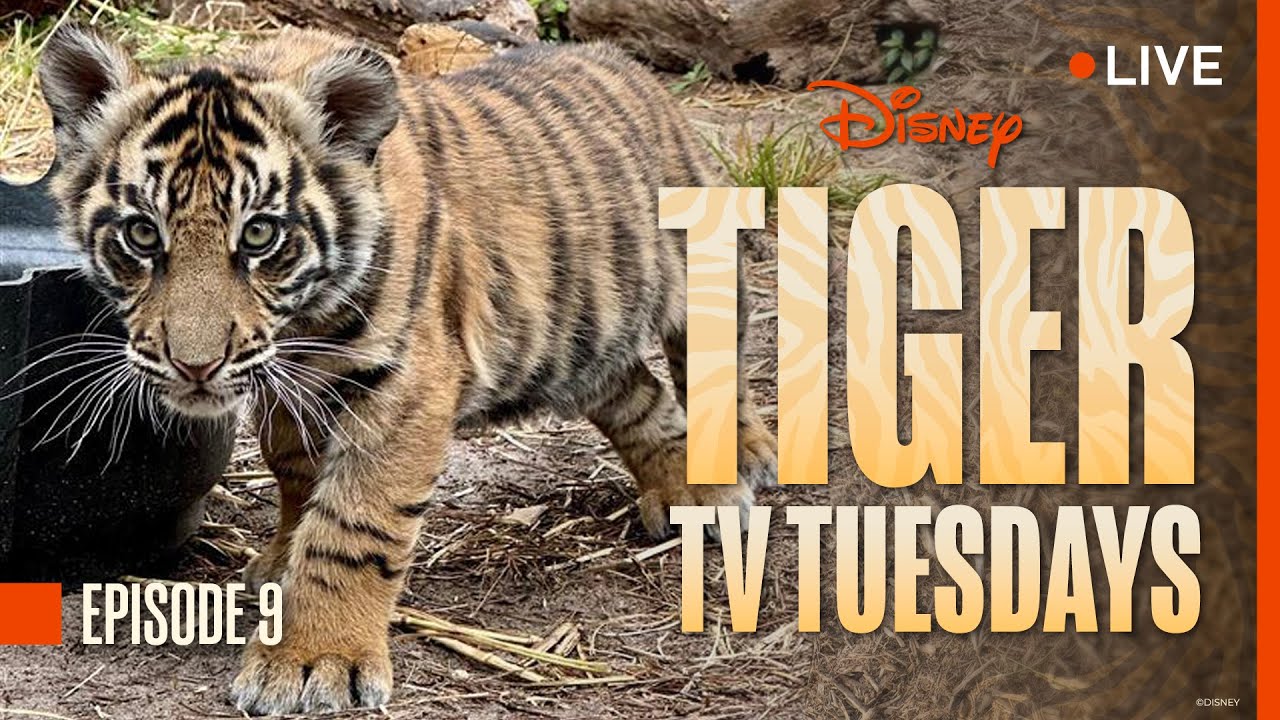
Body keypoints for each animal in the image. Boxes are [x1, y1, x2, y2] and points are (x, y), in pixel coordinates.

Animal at [37, 24, 777, 715]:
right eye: (141, 233)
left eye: (259, 235)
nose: (194, 365)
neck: (302, 327)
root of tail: (629, 65)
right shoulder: (288, 383)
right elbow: (296, 473)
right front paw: (281, 564)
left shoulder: (402, 385)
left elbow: (353, 525)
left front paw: (313, 660)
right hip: (581, 338)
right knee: (641, 397)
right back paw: (686, 492)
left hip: (705, 275)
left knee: (715, 372)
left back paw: (737, 466)